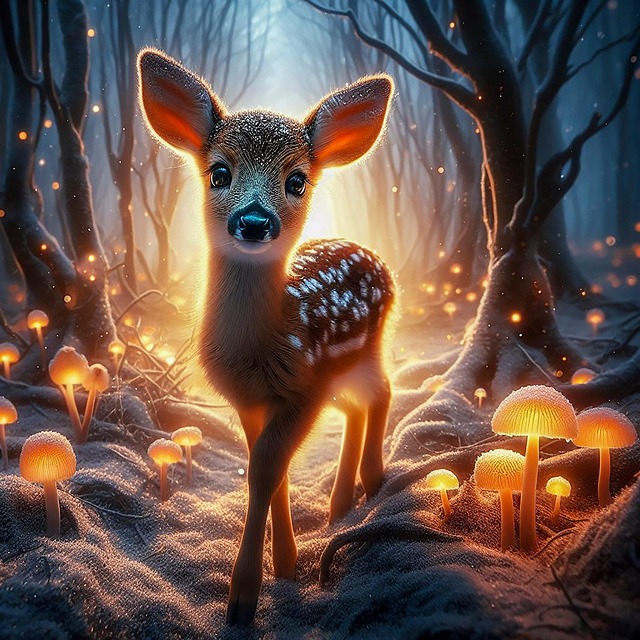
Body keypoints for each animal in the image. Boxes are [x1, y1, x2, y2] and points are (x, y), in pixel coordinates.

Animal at [137, 49, 395, 626]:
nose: (254, 220)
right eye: (219, 172)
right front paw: (286, 562)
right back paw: (341, 504)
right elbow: (266, 469)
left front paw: (244, 598)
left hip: (361, 351)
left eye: (297, 180)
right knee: (358, 405)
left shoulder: (302, 388)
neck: (257, 347)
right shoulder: (251, 400)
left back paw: (372, 482)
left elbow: (265, 471)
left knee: (383, 393)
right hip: (340, 372)